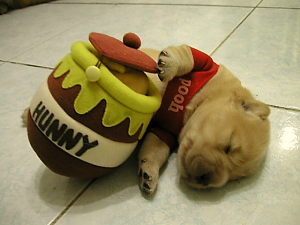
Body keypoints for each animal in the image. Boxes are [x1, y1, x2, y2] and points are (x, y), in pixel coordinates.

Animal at [139, 45, 270, 195]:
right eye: (228, 147)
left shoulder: (164, 131)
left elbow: (155, 151)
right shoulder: (207, 64)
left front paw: (149, 173)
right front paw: (168, 65)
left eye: (234, 177)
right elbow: (187, 57)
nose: (205, 180)